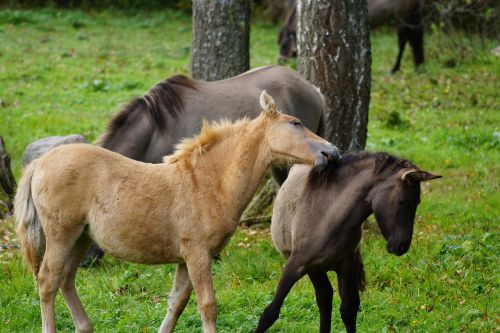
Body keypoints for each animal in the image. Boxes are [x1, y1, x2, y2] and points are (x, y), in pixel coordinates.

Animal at [14, 91, 340, 332]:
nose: (332, 151)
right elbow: (207, 305)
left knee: (66, 279)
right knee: (48, 281)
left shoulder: (185, 259)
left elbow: (177, 303)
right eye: (295, 123)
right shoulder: (197, 254)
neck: (209, 182)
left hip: (81, 237)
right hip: (61, 234)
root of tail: (39, 163)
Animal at [256, 152, 440, 330]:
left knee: (325, 297)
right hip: (313, 269)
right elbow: (270, 313)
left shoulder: (346, 266)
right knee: (324, 297)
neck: (328, 215)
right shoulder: (295, 266)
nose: (402, 246)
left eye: (418, 202)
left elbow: (348, 310)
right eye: (402, 200)